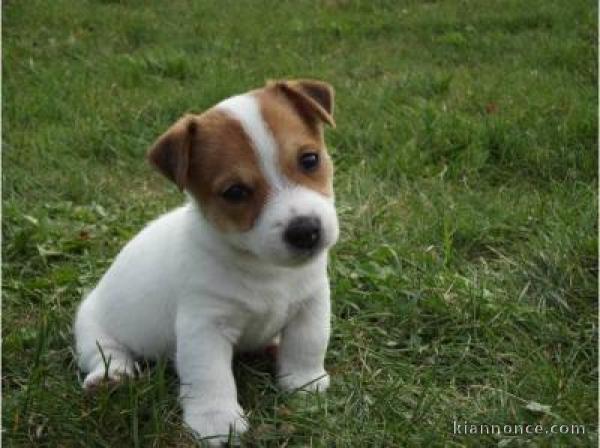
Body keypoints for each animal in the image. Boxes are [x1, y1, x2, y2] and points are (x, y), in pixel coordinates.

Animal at [72, 79, 338, 442]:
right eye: (235, 192)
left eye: (309, 159)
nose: (306, 231)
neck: (264, 268)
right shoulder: (204, 326)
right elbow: (210, 376)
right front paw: (216, 421)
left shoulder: (312, 303)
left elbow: (308, 343)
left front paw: (304, 384)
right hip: (92, 328)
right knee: (106, 353)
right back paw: (110, 377)